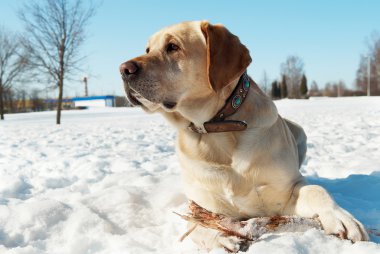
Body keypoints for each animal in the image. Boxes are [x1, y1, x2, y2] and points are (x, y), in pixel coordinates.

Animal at [119, 20, 368, 251]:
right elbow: (196, 225)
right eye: (148, 49)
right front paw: (220, 238)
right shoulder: (202, 204)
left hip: (300, 132)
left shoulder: (288, 190)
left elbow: (315, 190)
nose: (123, 69)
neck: (218, 129)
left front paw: (341, 217)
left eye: (172, 46)